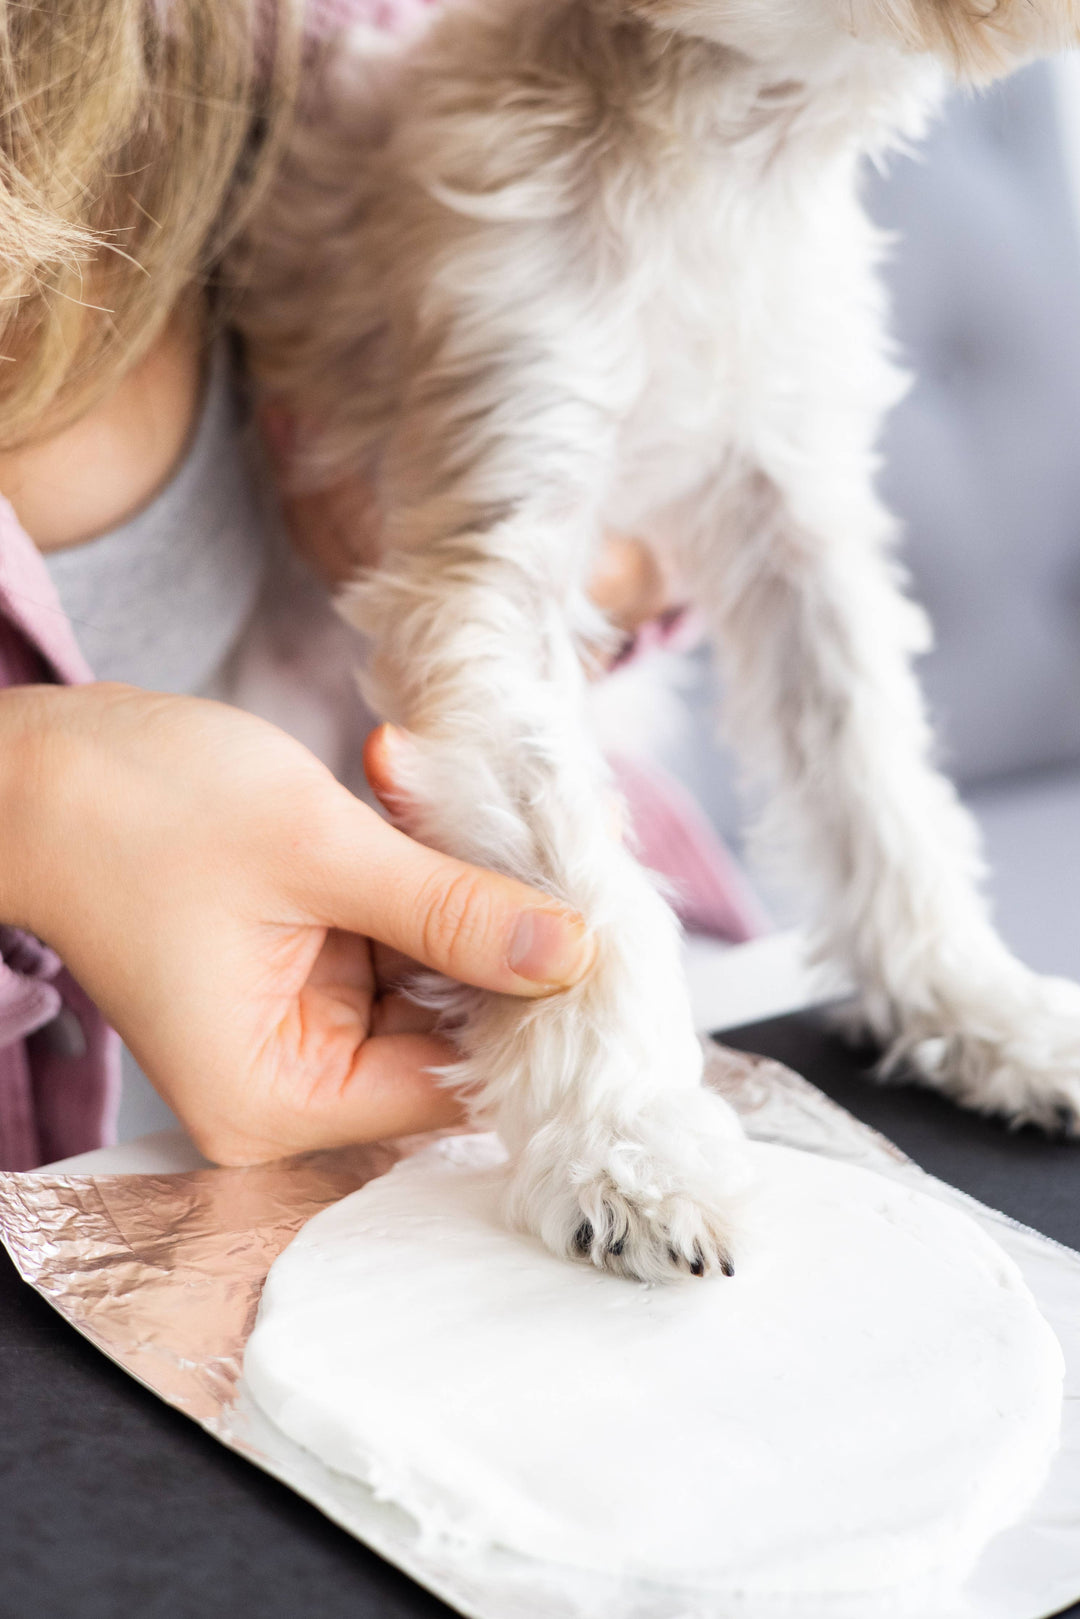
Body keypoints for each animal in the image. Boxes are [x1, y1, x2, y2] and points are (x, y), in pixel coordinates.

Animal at [241, 3, 1080, 1288]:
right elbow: (581, 887)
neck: (730, 148)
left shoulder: (798, 511)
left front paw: (976, 1002)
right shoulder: (493, 544)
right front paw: (622, 1142)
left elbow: (876, 780)